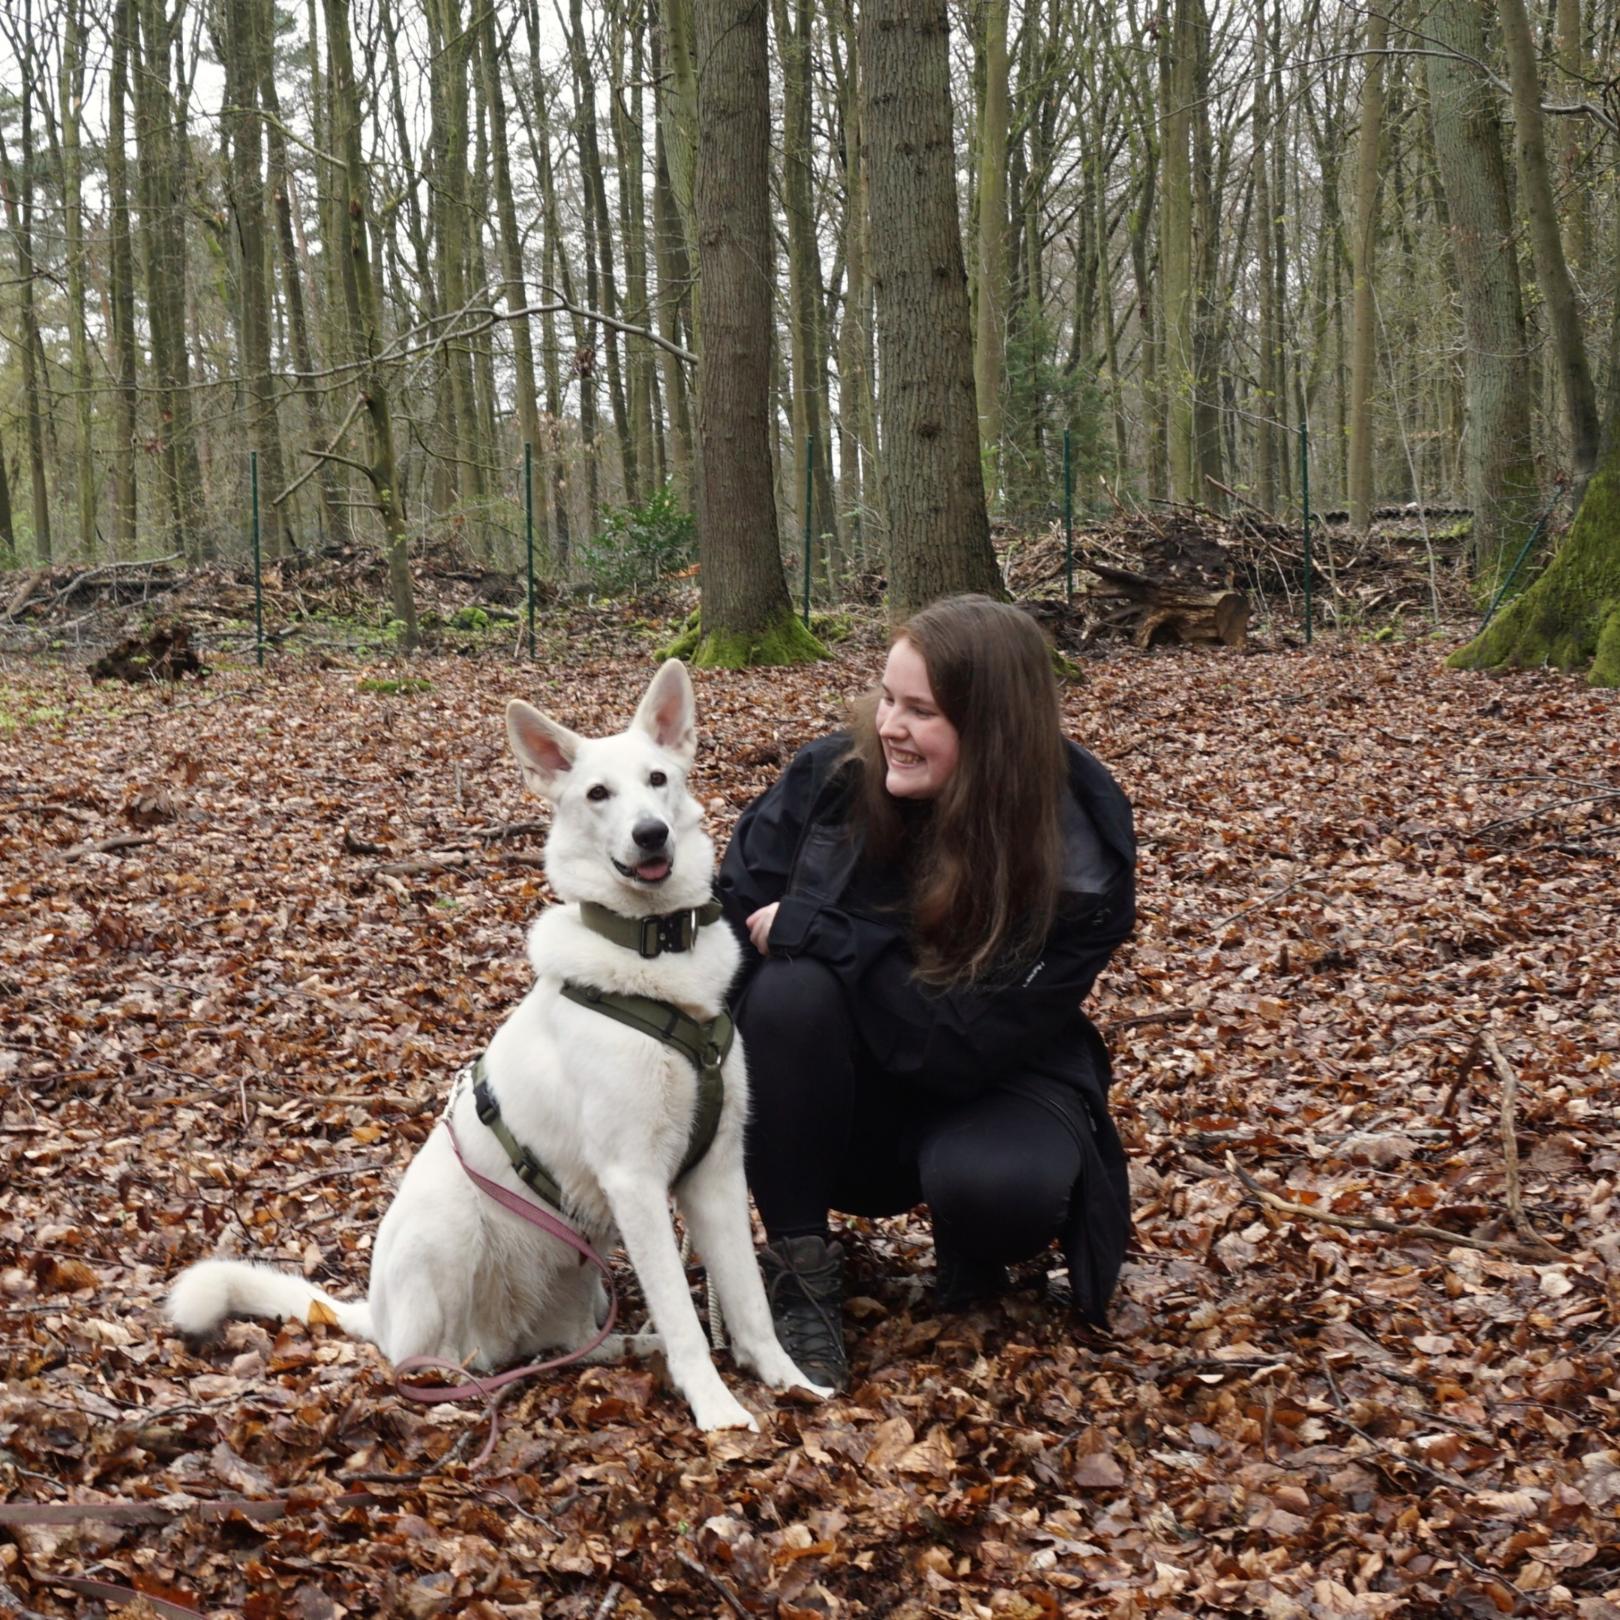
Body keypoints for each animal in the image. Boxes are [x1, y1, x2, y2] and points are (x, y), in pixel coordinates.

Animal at [167, 657, 822, 1432]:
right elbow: (690, 1320)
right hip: (449, 1233)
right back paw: (460, 1389)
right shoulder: (635, 1180)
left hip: (579, 1271)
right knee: (423, 1359)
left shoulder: (715, 1173)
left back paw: (626, 1348)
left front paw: (789, 1382)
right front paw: (718, 1409)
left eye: (659, 778)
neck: (652, 955)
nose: (651, 834)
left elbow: (748, 1304)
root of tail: (372, 1314)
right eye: (597, 794)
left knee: (565, 1341)